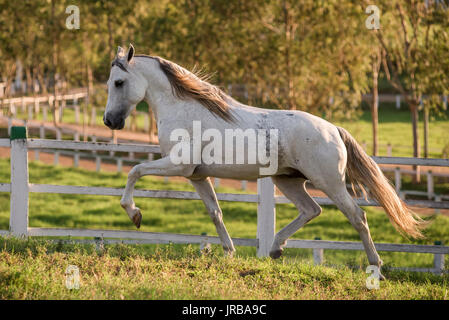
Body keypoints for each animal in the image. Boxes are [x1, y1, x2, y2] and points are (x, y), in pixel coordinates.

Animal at [103, 45, 426, 278]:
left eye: (118, 82)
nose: (109, 121)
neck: (184, 109)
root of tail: (334, 129)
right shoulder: (197, 175)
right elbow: (215, 213)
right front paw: (229, 253)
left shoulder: (177, 165)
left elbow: (135, 171)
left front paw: (134, 214)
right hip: (288, 180)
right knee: (312, 210)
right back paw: (275, 249)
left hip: (329, 182)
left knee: (357, 217)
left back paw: (376, 269)